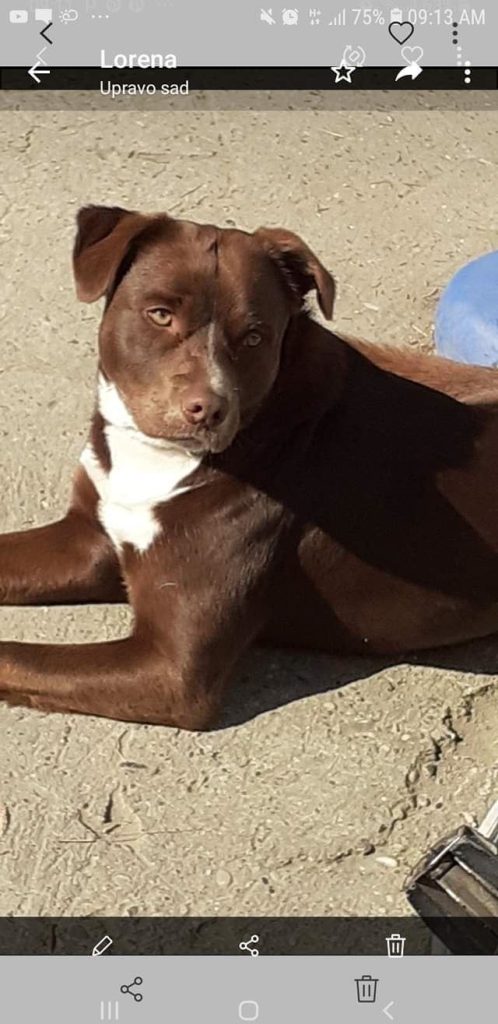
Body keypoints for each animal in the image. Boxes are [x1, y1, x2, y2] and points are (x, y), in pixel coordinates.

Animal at [1, 205, 498, 728]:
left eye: (255, 336)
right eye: (160, 314)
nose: (207, 409)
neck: (159, 461)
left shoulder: (171, 671)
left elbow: (14, 654)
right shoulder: (88, 540)